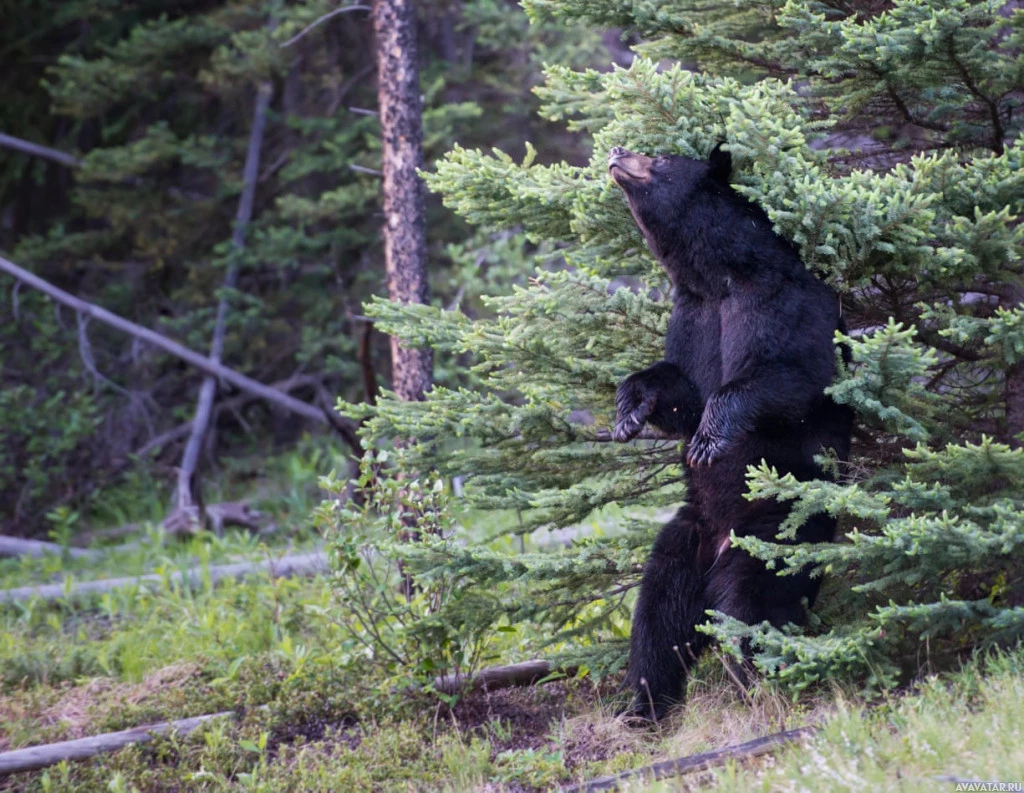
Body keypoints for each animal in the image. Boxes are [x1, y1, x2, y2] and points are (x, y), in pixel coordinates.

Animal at [606, 142, 856, 721]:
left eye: (659, 157)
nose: (616, 150)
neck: (715, 275)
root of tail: (719, 546)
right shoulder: (692, 317)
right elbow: (681, 385)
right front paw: (629, 409)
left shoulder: (777, 299)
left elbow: (789, 375)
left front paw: (709, 437)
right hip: (684, 540)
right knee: (658, 619)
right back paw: (641, 706)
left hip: (772, 535)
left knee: (752, 612)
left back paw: (764, 690)